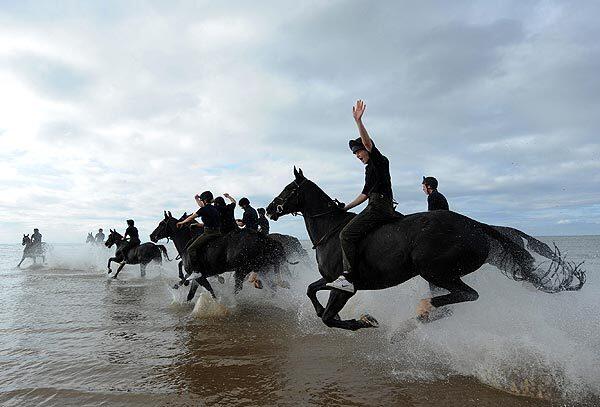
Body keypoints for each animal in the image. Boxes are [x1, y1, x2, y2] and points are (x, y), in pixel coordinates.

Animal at [150, 212, 296, 302]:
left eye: (161, 224)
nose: (152, 236)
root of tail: (263, 238)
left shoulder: (200, 277)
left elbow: (211, 292)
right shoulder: (198, 278)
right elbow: (190, 295)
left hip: (243, 270)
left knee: (239, 288)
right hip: (262, 269)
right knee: (273, 287)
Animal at [268, 169, 584, 332]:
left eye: (289, 188)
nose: (270, 209)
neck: (331, 231)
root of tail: (477, 226)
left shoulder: (345, 286)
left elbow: (328, 317)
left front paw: (363, 321)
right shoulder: (331, 280)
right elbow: (312, 292)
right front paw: (348, 316)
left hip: (434, 270)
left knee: (468, 295)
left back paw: (421, 310)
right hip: (438, 275)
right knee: (454, 302)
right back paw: (417, 320)